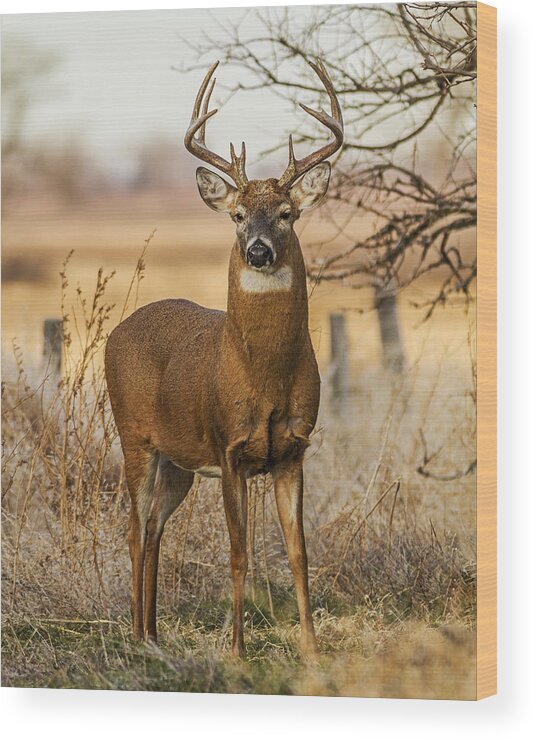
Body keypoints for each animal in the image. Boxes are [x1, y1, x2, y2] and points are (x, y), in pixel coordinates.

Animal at [104, 59, 344, 660]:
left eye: (287, 213)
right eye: (237, 215)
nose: (257, 249)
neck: (263, 378)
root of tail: (117, 331)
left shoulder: (294, 449)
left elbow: (299, 553)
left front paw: (312, 650)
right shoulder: (229, 447)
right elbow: (238, 553)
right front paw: (236, 652)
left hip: (178, 462)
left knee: (155, 529)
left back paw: (154, 634)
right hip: (134, 436)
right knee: (133, 529)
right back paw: (137, 638)